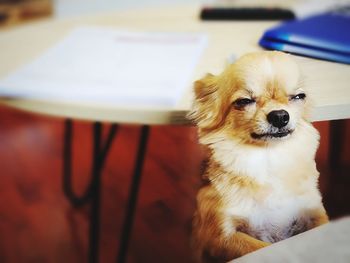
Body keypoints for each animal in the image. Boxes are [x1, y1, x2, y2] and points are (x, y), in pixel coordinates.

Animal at [189, 50, 328, 262]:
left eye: (299, 97)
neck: (268, 159)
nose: (280, 115)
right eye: (244, 102)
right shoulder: (219, 235)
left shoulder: (314, 212)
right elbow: (263, 249)